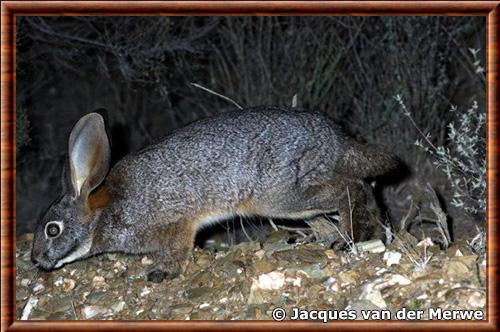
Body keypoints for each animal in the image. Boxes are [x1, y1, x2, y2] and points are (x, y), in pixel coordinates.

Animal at [31, 107, 398, 282]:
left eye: (53, 229)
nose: (36, 260)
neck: (104, 212)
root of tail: (333, 136)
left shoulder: (175, 226)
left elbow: (177, 251)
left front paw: (161, 274)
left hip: (282, 196)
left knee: (353, 187)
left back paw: (354, 236)